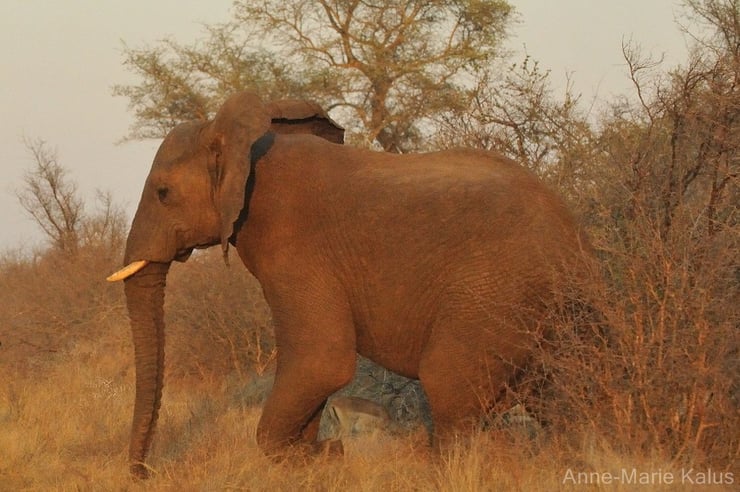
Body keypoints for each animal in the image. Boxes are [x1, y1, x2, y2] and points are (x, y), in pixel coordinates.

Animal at [107, 90, 589, 478]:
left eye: (163, 193)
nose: (144, 472)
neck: (246, 142)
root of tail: (572, 230)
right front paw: (316, 455)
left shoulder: (295, 247)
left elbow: (322, 360)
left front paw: (325, 454)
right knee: (557, 393)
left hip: (494, 290)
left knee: (450, 384)